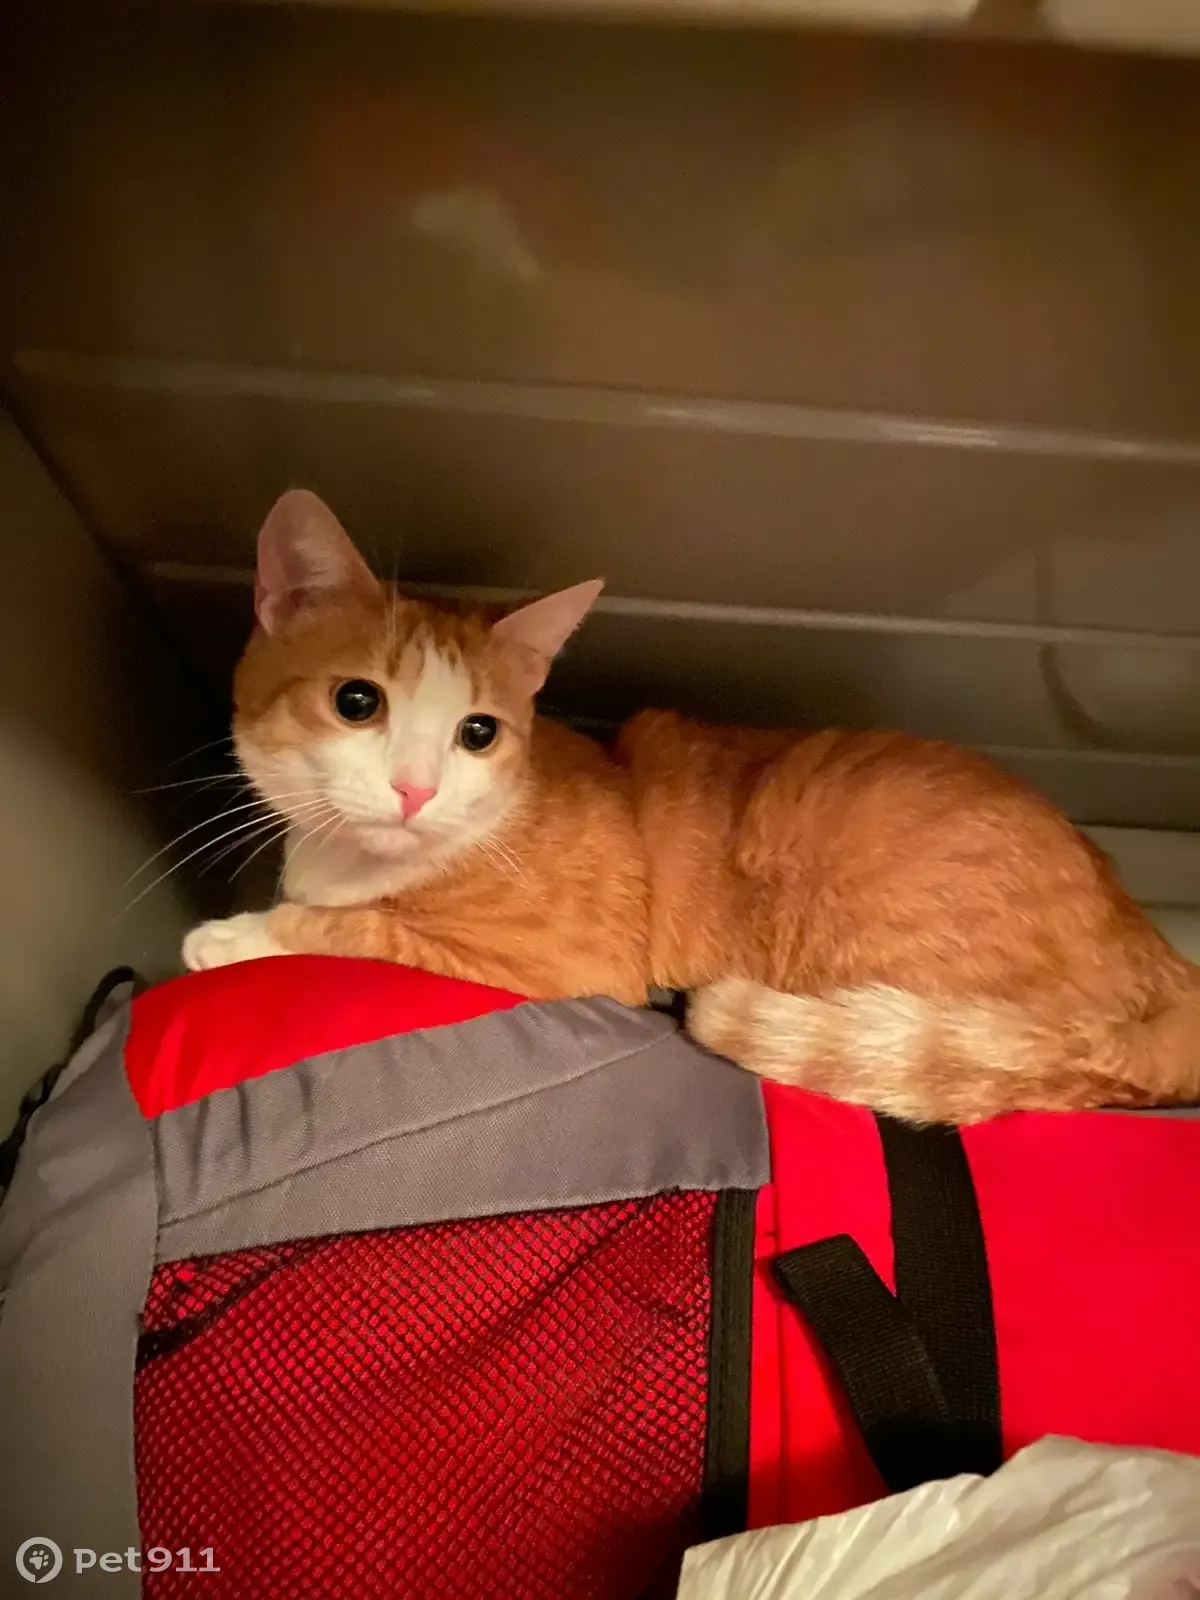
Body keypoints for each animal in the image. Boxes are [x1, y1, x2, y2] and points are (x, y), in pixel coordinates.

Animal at [183, 488, 1200, 1124]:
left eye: (478, 732)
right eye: (358, 702)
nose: (414, 788)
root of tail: (1159, 951)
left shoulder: (561, 964)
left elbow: (355, 932)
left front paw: (238, 937)